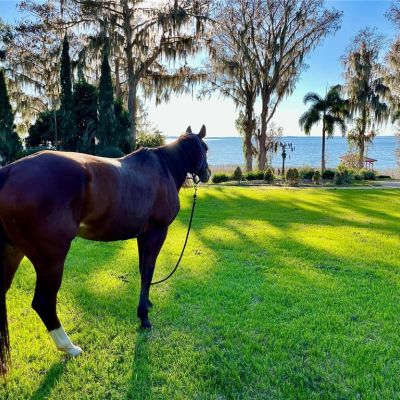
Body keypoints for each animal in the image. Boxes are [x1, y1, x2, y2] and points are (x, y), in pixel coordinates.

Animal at [0, 125, 210, 375]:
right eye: (205, 148)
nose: (208, 174)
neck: (163, 169)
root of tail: (10, 171)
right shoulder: (156, 233)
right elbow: (148, 271)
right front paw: (144, 318)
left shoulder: (142, 235)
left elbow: (143, 272)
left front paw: (147, 303)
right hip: (50, 260)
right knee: (44, 303)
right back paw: (70, 347)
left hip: (13, 252)